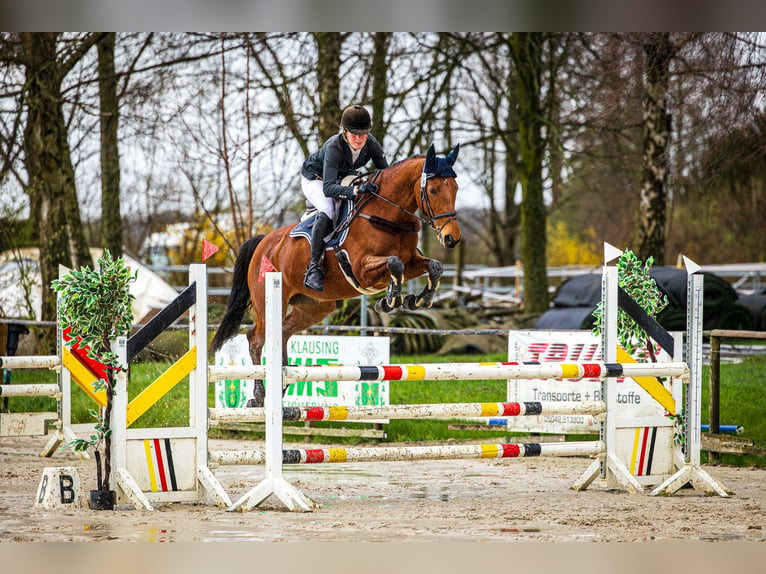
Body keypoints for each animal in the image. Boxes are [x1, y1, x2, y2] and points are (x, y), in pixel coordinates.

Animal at [210, 142, 462, 408]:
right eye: (433, 190)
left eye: (455, 188)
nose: (451, 239)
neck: (388, 214)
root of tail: (263, 242)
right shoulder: (362, 269)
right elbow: (395, 265)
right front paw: (390, 300)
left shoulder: (412, 261)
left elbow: (434, 266)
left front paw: (418, 299)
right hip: (268, 301)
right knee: (256, 338)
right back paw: (259, 395)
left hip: (315, 307)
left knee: (283, 332)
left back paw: (282, 383)